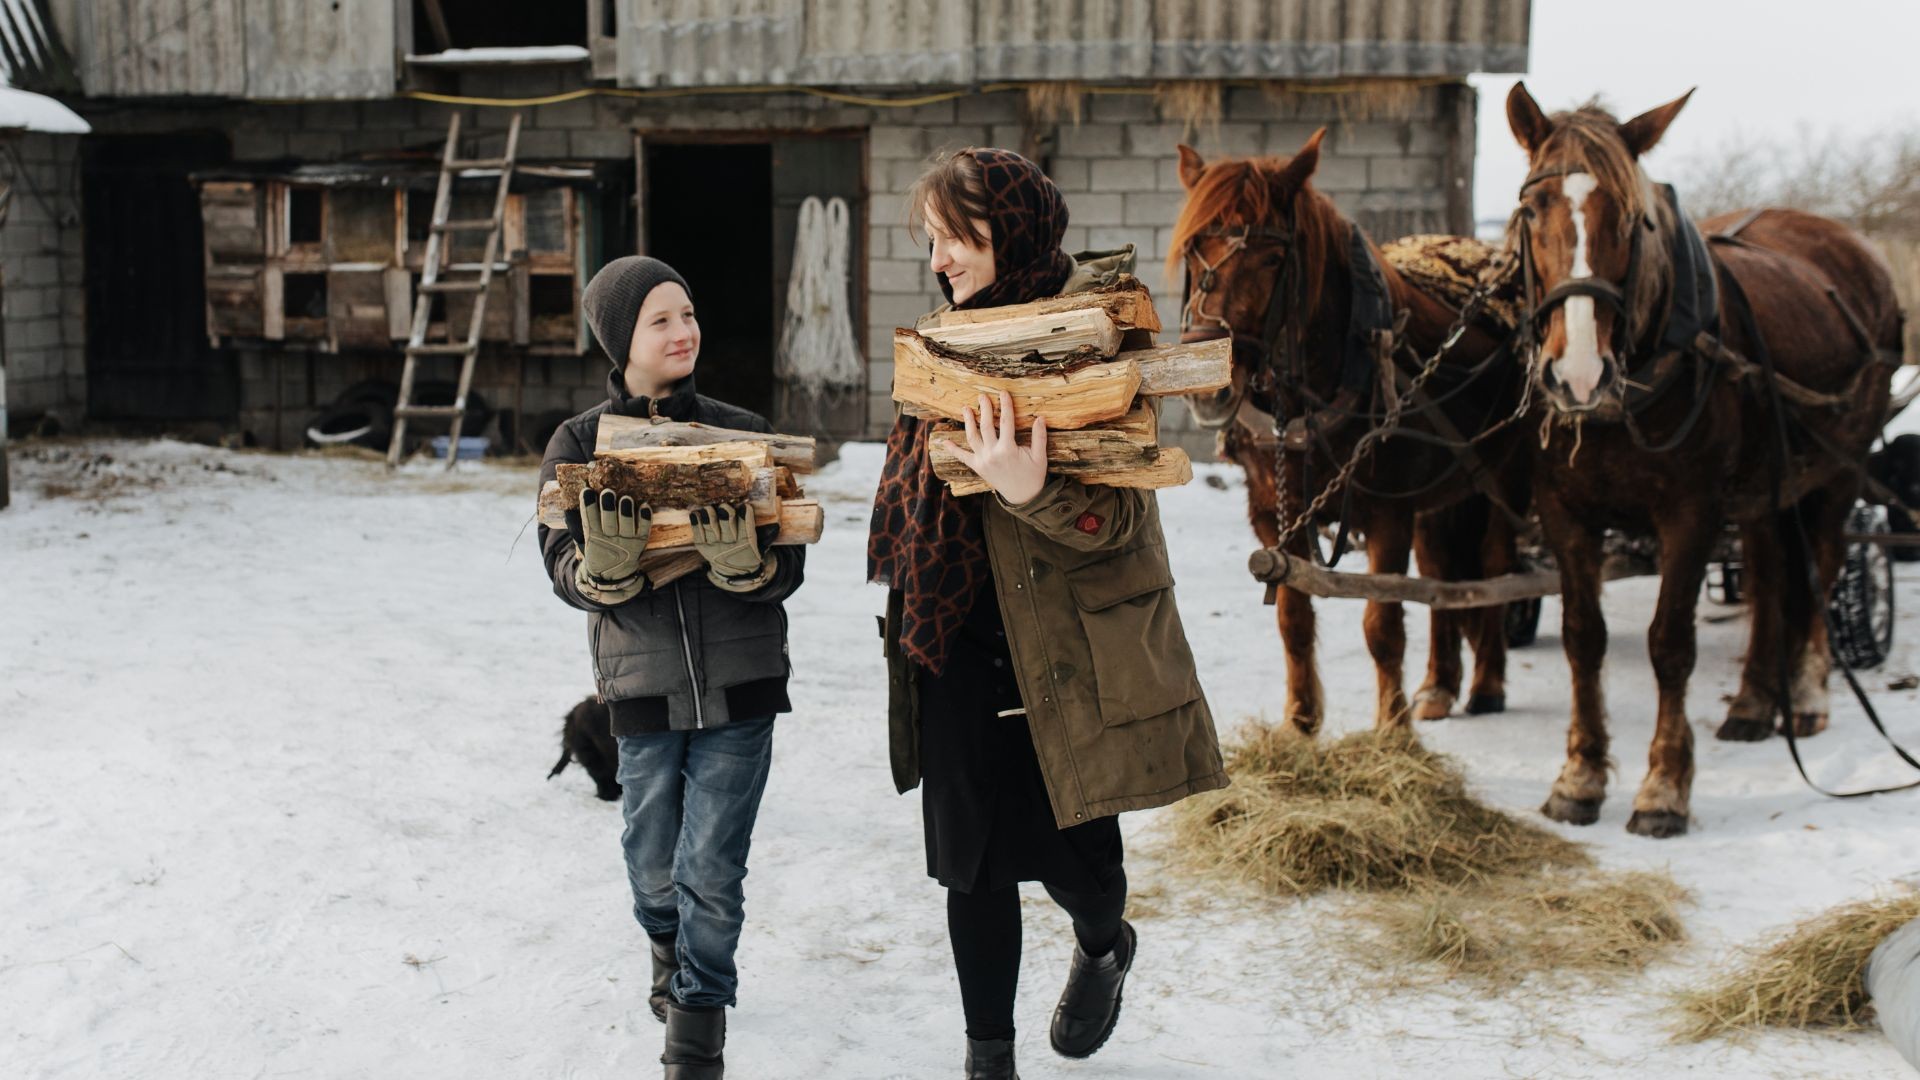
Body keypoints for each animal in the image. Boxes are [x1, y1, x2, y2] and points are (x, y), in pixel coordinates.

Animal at [1167, 127, 1528, 730]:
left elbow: (1382, 624)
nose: (1206, 388)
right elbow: (1293, 616)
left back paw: (1489, 684)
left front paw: (1393, 729)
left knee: (1496, 569)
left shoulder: (1387, 515)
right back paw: (1438, 686)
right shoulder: (1271, 510)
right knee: (1442, 577)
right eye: (1194, 248)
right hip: (1441, 493)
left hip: (1505, 480)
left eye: (1272, 258)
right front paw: (1300, 723)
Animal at [1512, 88, 1904, 837]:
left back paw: (1807, 694)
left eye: (1631, 218)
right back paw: (1753, 703)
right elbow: (1583, 637)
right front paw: (1579, 778)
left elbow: (1671, 642)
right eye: (1532, 210)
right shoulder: (1563, 511)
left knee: (1824, 562)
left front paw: (1663, 787)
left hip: (1838, 470)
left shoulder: (1690, 512)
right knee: (1773, 571)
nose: (1578, 375)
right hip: (1764, 487)